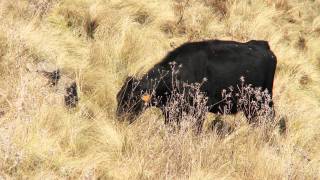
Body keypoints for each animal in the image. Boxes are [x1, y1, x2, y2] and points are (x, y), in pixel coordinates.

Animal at [116, 40, 276, 128]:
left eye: (132, 99)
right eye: (118, 97)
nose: (119, 119)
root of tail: (263, 46)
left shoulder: (198, 110)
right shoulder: (170, 111)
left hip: (263, 101)